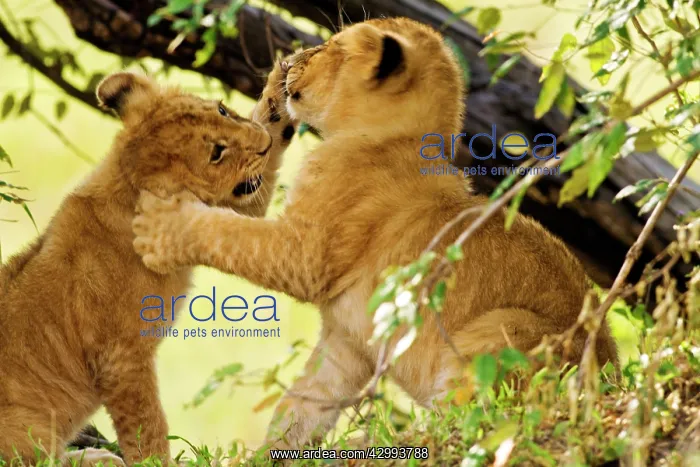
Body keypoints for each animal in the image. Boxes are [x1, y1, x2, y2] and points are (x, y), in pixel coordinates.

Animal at [0, 65, 295, 464]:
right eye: (216, 153)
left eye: (221, 110)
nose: (261, 144)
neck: (125, 186)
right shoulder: (122, 359)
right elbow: (146, 427)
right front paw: (156, 460)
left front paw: (281, 92)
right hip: (25, 423)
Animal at [131, 17, 619, 451]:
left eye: (330, 47)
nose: (295, 57)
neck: (392, 140)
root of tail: (611, 381)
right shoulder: (347, 341)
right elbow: (302, 407)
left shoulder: (302, 253)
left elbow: (226, 231)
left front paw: (156, 227)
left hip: (505, 332)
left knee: (471, 422)